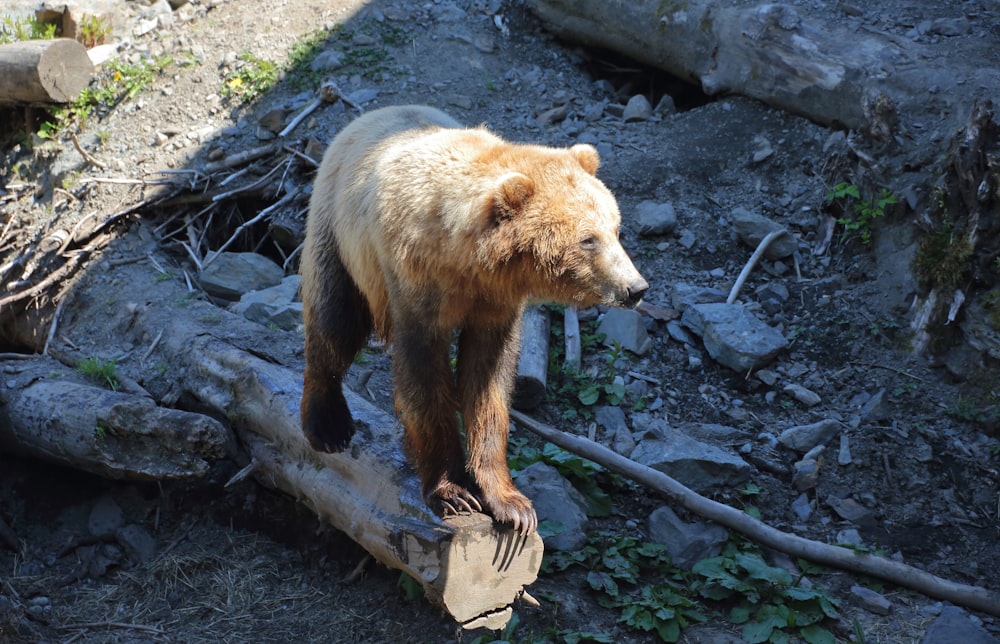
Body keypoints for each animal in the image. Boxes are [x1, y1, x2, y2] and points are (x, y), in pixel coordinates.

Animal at [296, 105, 648, 536]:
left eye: (615, 228)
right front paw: (453, 492)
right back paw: (327, 424)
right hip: (339, 236)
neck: (466, 260)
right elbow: (424, 379)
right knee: (333, 321)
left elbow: (487, 383)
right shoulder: (415, 284)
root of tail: (366, 117)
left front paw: (511, 503)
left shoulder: (496, 304)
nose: (636, 287)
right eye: (588, 239)